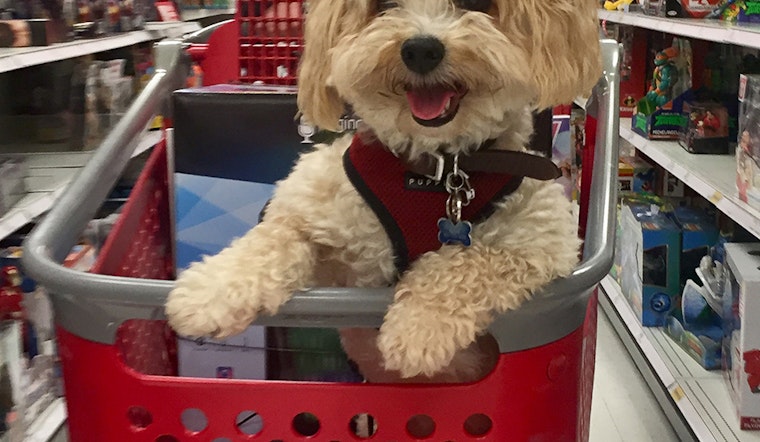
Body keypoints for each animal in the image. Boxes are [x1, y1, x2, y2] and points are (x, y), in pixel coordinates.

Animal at [165, 0, 600, 382]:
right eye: (383, 5)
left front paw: (420, 326)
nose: (420, 49)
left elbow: (466, 261)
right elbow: (274, 237)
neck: (434, 171)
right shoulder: (322, 228)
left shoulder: (544, 242)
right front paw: (212, 291)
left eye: (477, 3)